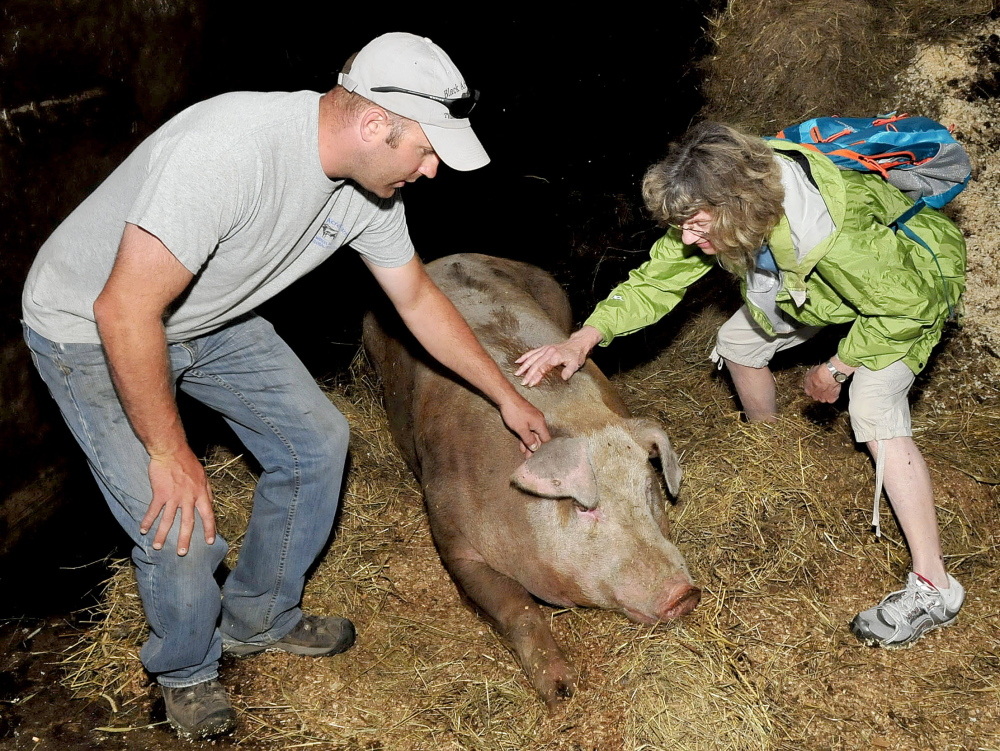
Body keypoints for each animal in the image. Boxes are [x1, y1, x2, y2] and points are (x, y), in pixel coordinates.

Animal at [364, 256, 700, 708]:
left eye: (647, 491)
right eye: (585, 508)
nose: (685, 594)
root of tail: (449, 257)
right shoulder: (451, 536)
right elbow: (517, 608)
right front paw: (562, 691)